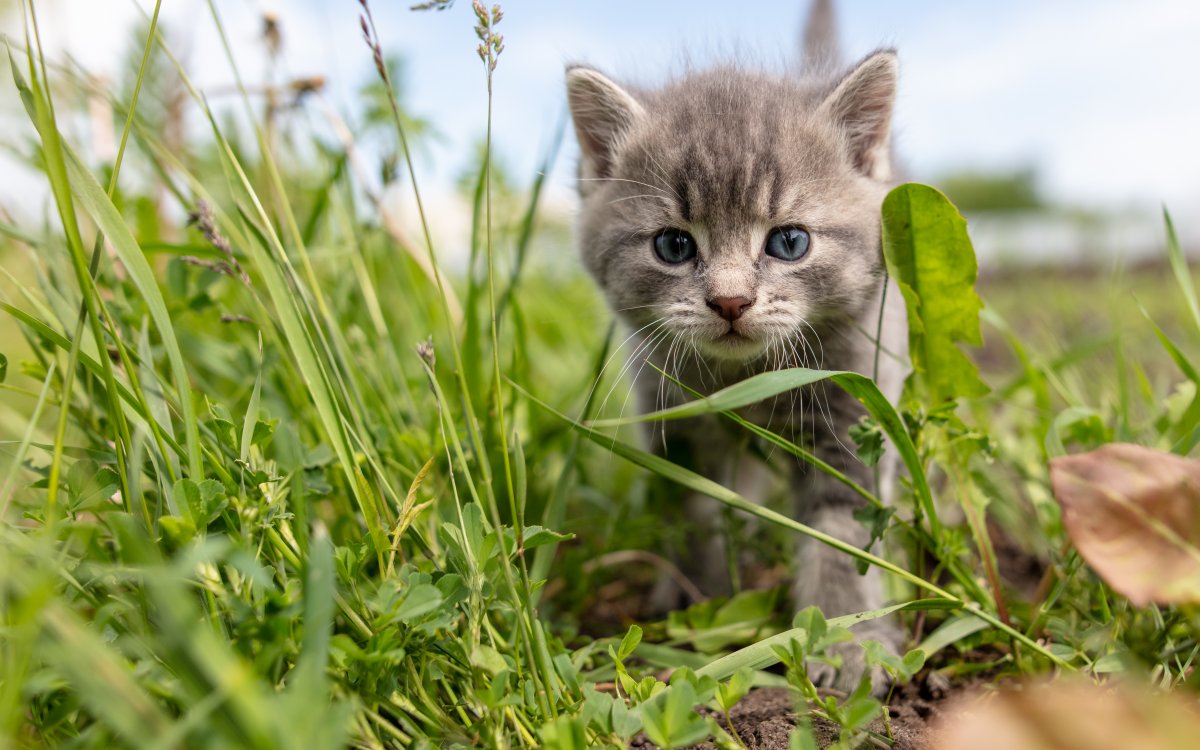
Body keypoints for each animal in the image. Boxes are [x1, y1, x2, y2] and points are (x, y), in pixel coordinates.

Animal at [566, 2, 902, 691]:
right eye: (673, 245)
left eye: (789, 242)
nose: (729, 301)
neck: (745, 382)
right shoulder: (676, 422)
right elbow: (699, 512)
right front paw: (699, 600)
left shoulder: (851, 418)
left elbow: (842, 533)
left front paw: (846, 645)